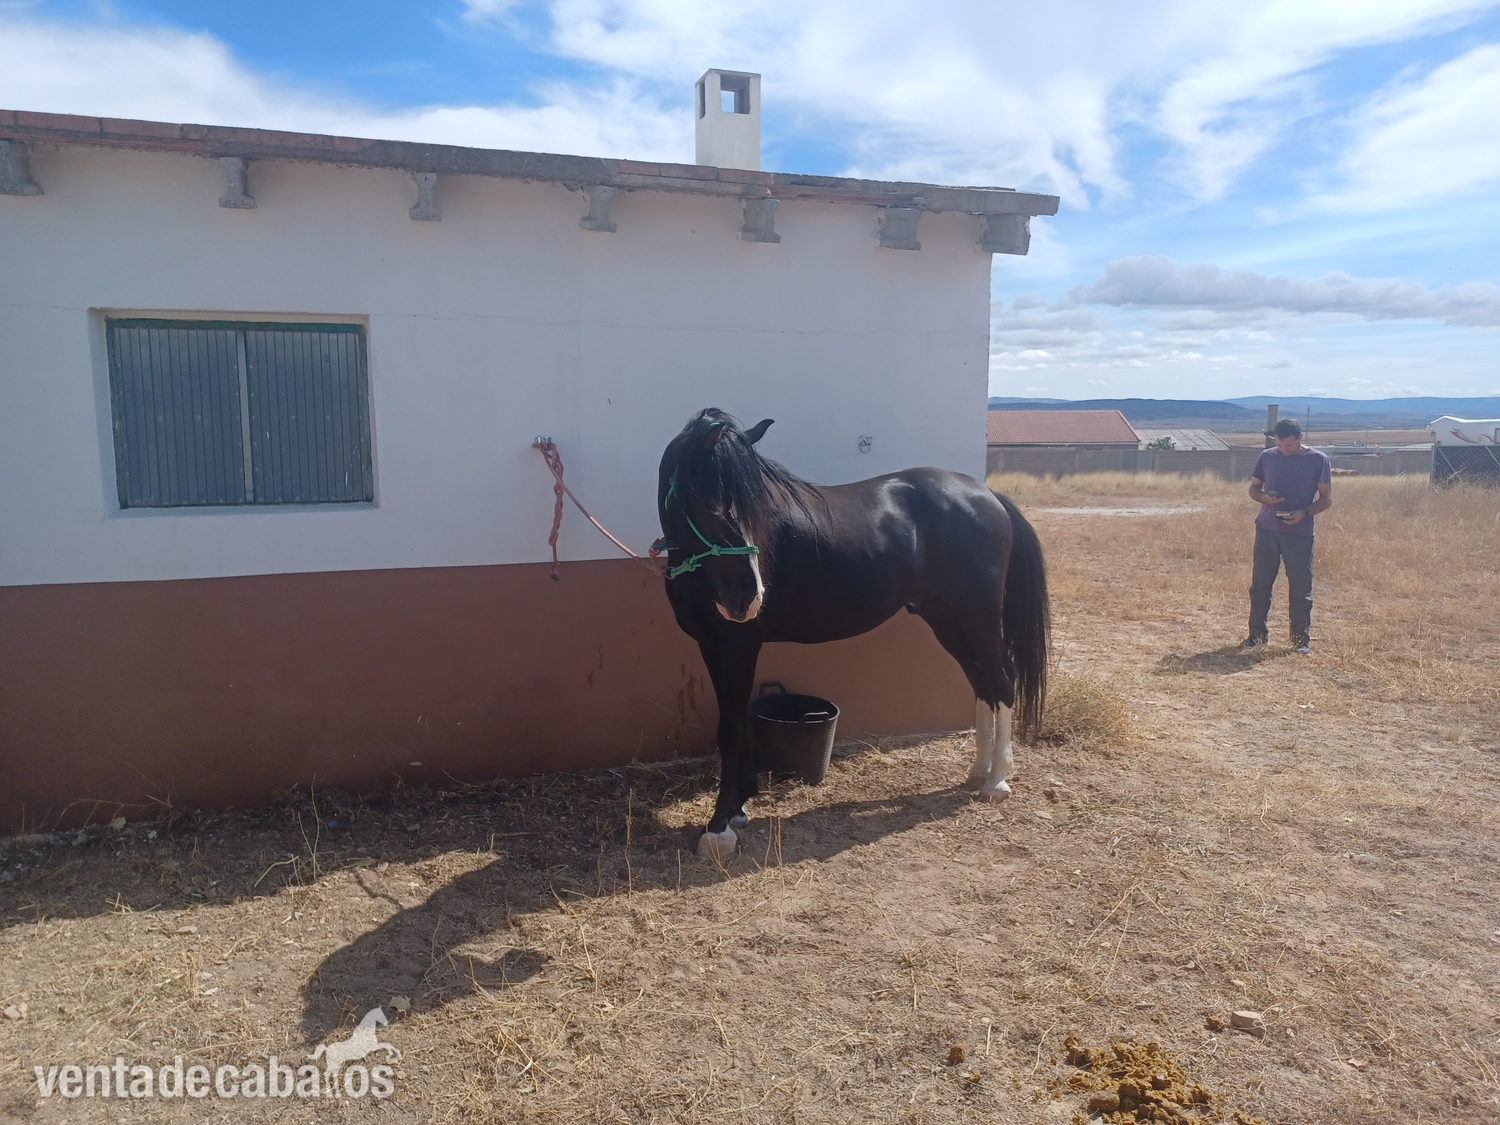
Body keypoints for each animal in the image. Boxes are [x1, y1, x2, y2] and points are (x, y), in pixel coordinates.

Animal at [656, 408, 1049, 860]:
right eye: (708, 503)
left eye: (750, 505)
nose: (748, 599)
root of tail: (986, 495)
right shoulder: (710, 645)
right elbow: (731, 719)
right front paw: (738, 808)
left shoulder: (739, 645)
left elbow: (732, 727)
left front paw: (720, 827)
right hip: (945, 618)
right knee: (982, 680)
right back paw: (980, 769)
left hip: (977, 615)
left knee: (1002, 680)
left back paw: (998, 779)